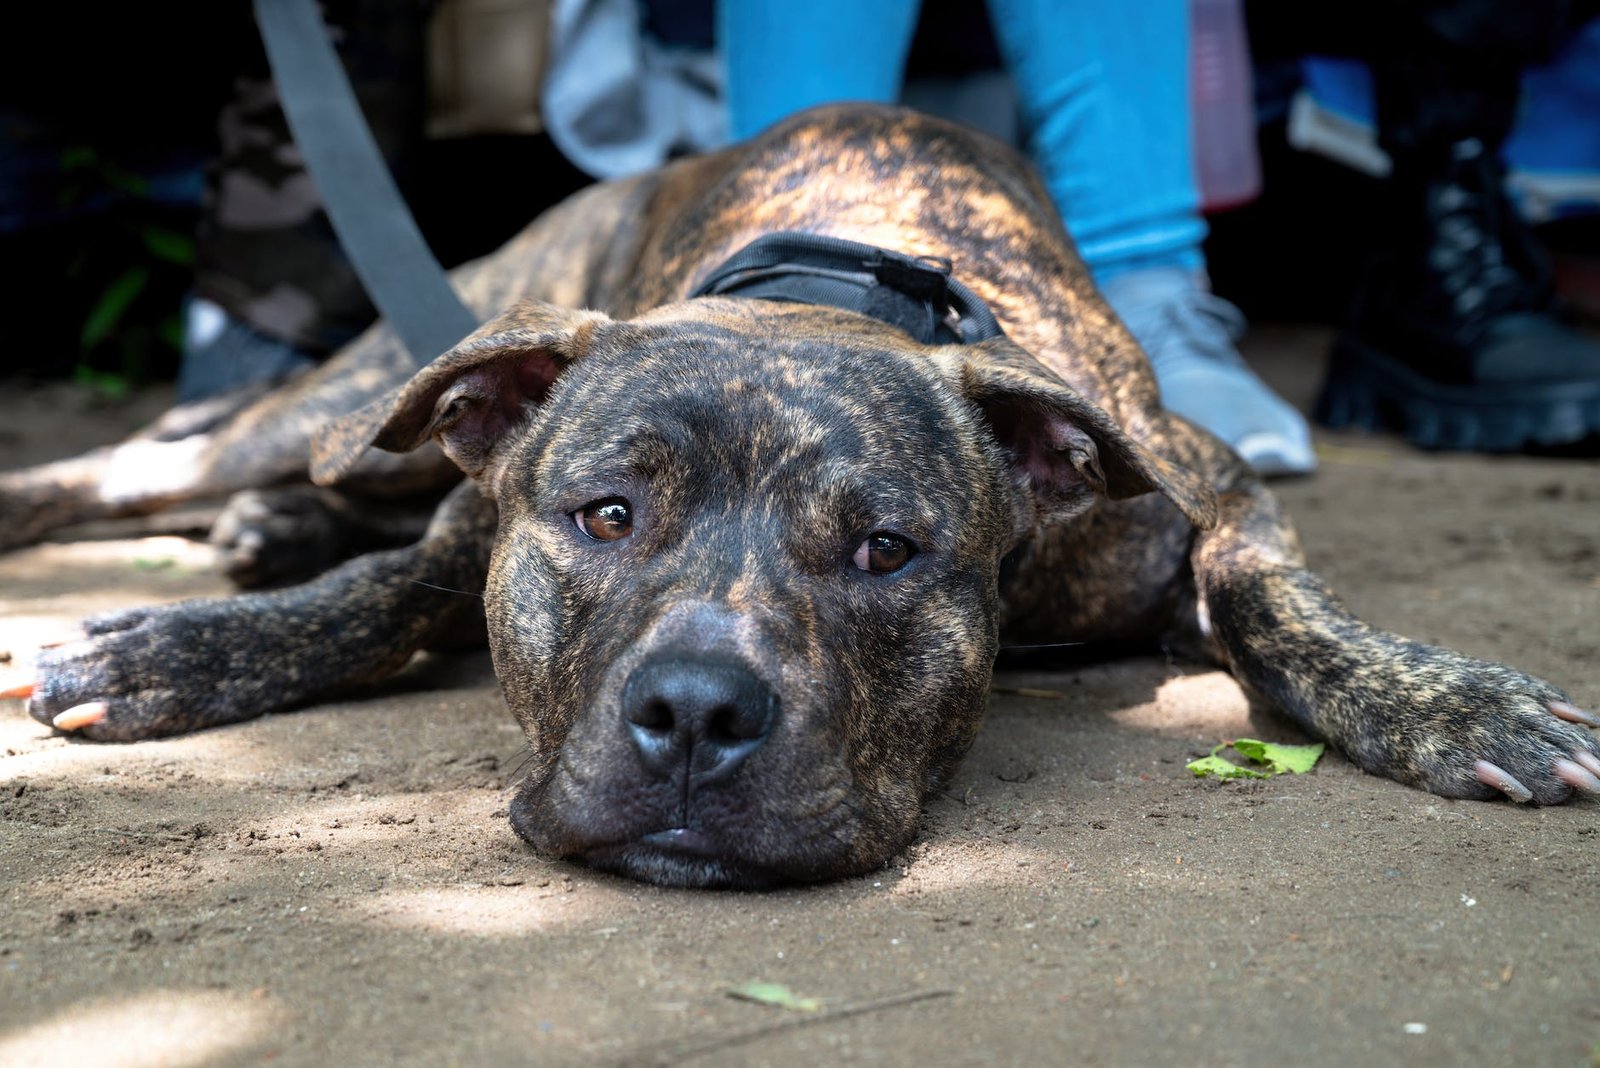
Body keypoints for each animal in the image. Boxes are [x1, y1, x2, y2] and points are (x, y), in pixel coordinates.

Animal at [3, 106, 1600, 882]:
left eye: (887, 550)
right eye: (603, 517)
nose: (697, 714)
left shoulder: (1199, 482)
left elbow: (1274, 598)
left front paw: (1458, 706)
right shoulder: (485, 498)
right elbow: (388, 592)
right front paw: (175, 652)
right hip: (375, 388)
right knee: (160, 461)